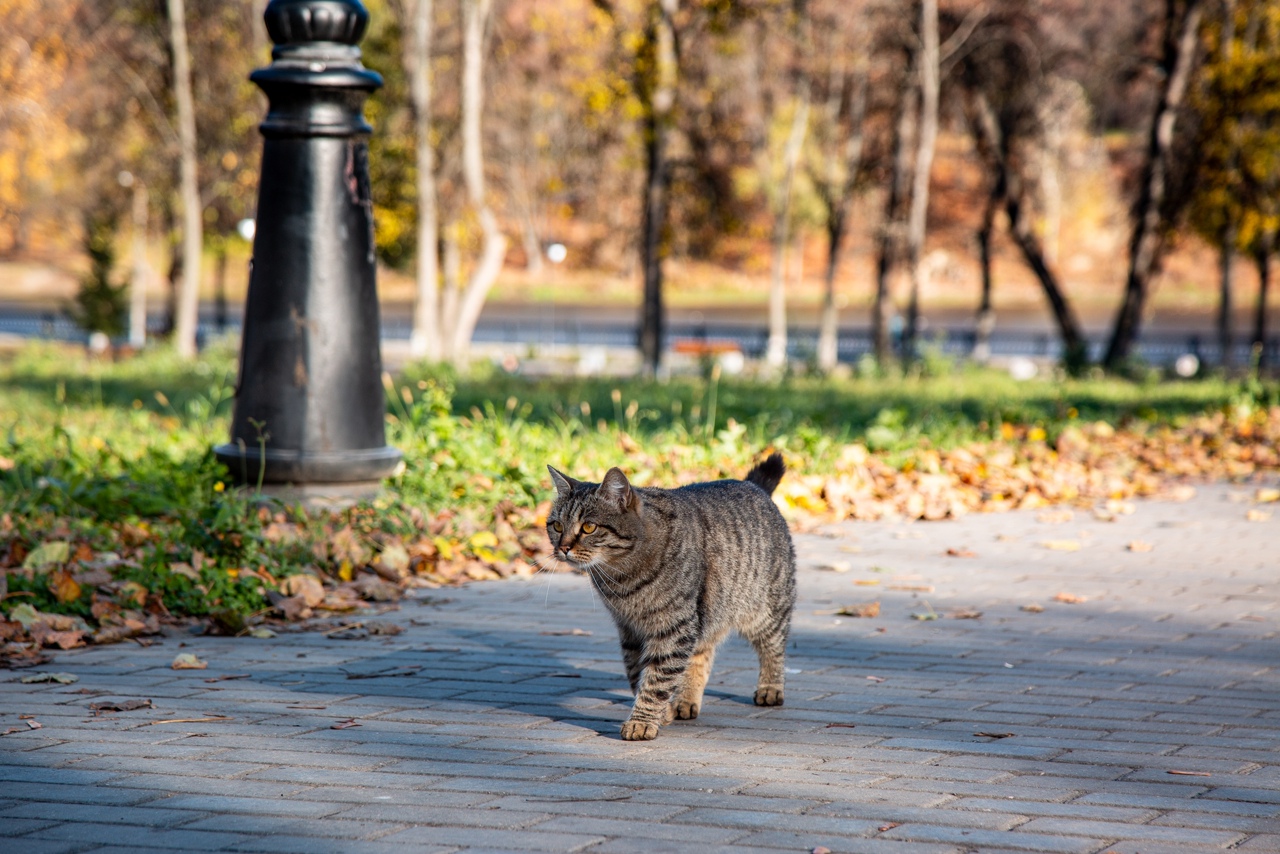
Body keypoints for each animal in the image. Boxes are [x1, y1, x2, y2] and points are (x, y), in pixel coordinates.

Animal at [545, 453, 793, 742]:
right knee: (701, 654)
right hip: (707, 614)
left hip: (765, 609)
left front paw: (642, 721)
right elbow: (637, 673)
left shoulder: (673, 627)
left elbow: (658, 678)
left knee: (773, 647)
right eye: (557, 525)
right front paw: (660, 713)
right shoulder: (630, 629)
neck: (622, 580)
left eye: (588, 527)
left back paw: (770, 688)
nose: (562, 548)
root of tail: (751, 484)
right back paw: (686, 700)